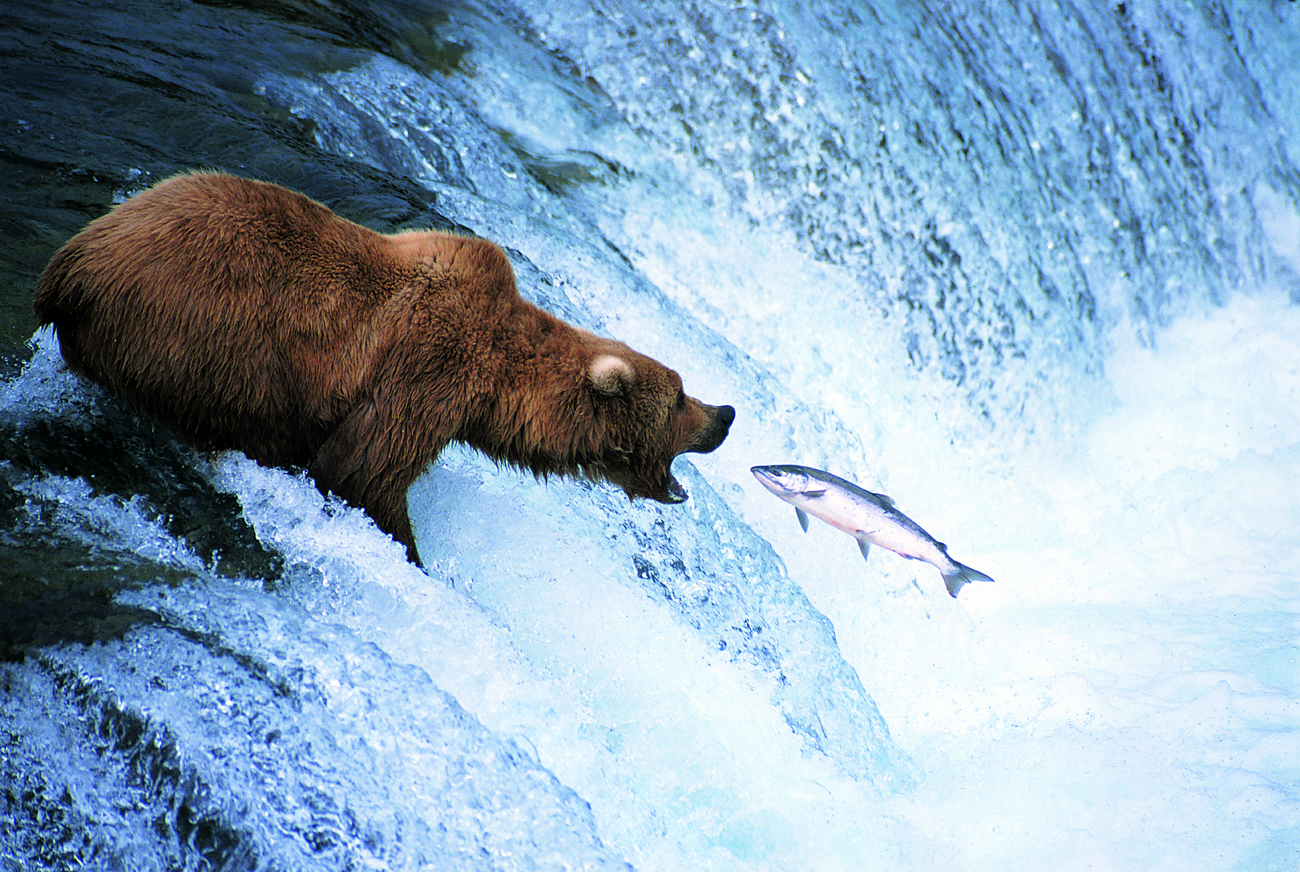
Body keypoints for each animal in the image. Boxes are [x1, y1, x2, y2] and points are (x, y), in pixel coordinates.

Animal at [38, 174, 733, 564]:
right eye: (679, 396)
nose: (725, 413)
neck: (497, 384)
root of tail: (71, 266)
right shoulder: (429, 370)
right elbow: (366, 472)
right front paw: (410, 553)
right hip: (207, 334)